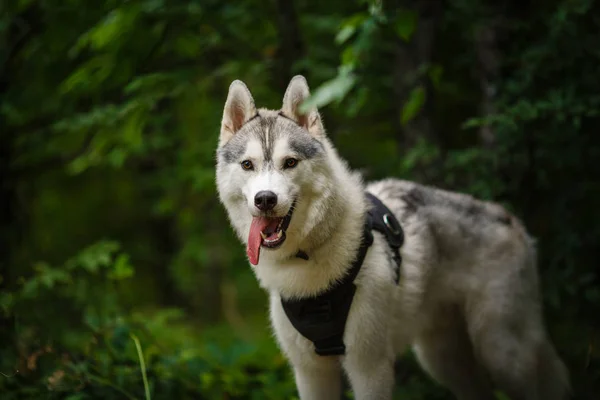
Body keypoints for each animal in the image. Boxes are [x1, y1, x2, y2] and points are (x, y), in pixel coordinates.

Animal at [213, 76, 568, 400]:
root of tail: (509, 219)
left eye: (289, 163)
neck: (309, 260)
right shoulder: (311, 373)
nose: (265, 199)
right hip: (443, 361)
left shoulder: (369, 368)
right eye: (248, 165)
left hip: (503, 355)